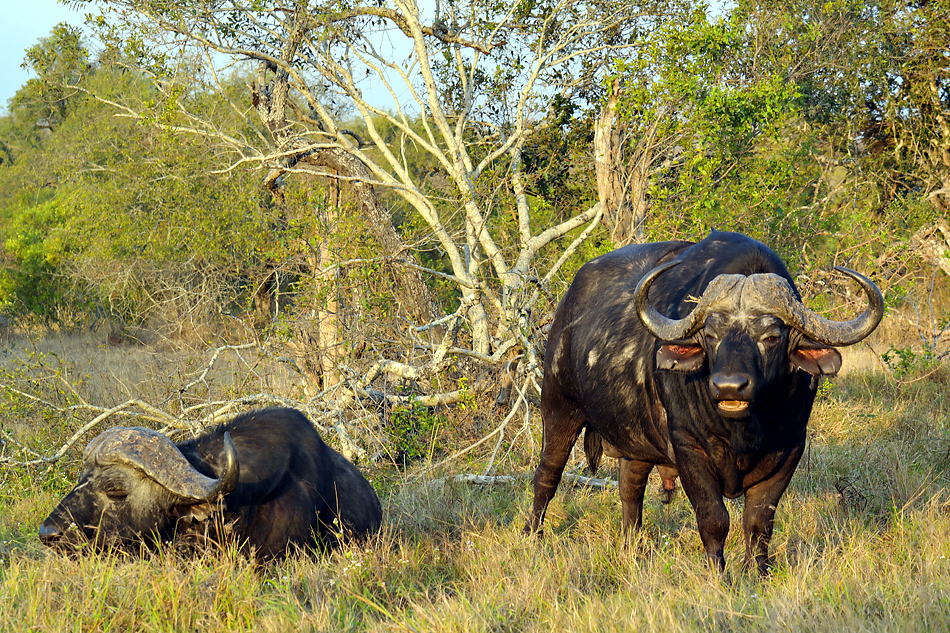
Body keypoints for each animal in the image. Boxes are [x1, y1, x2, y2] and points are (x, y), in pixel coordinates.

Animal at [528, 230, 884, 572]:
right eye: (711, 335)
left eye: (772, 337)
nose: (729, 387)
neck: (744, 432)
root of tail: (565, 310)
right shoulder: (688, 446)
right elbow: (714, 519)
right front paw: (717, 573)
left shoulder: (791, 448)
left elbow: (758, 522)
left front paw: (758, 572)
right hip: (558, 408)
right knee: (547, 475)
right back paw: (534, 536)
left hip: (635, 440)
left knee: (630, 487)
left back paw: (633, 548)